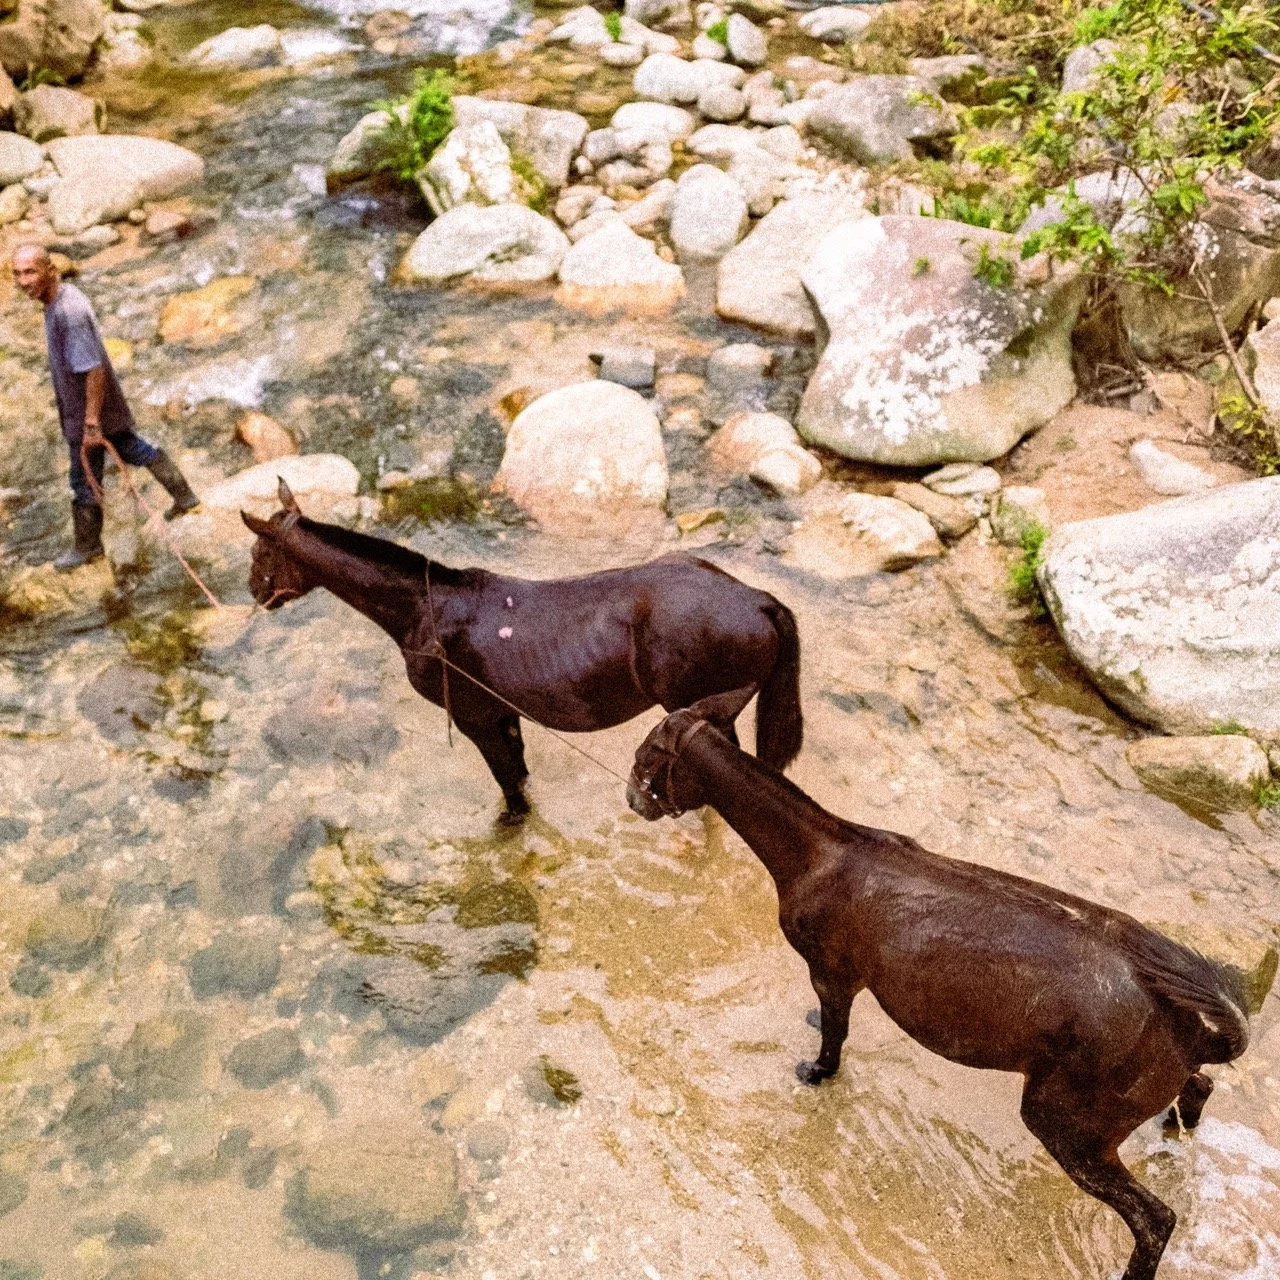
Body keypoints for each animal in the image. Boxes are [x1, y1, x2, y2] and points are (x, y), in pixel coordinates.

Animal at [241, 480, 803, 819]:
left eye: (257, 551)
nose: (253, 591)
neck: (428, 609)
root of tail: (757, 599)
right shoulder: (501, 711)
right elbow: (520, 769)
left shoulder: (472, 716)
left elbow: (508, 785)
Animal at [626, 690, 1251, 1280]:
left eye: (645, 755)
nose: (631, 798)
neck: (822, 852)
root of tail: (1188, 1031)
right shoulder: (841, 979)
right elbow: (832, 1019)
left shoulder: (829, 968)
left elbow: (834, 1035)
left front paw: (817, 1073)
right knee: (1199, 1088)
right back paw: (1177, 1130)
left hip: (1070, 1121)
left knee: (1154, 1218)